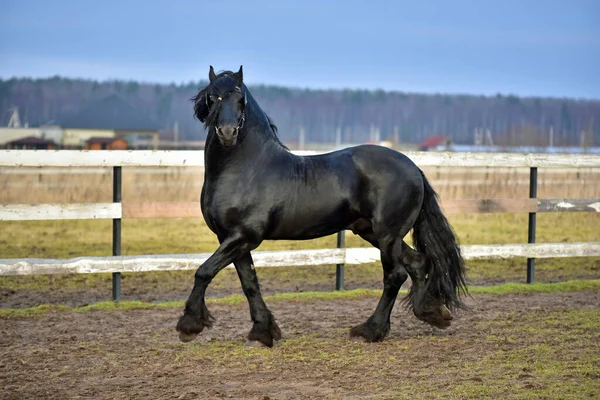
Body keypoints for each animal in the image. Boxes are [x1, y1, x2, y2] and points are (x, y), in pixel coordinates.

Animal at [176, 65, 466, 346]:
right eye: (213, 98)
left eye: (240, 99)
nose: (227, 133)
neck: (245, 169)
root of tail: (413, 167)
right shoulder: (230, 237)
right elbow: (249, 282)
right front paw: (263, 332)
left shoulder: (243, 236)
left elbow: (204, 271)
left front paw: (189, 326)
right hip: (372, 232)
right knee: (417, 263)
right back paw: (432, 313)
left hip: (388, 235)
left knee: (395, 275)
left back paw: (370, 330)